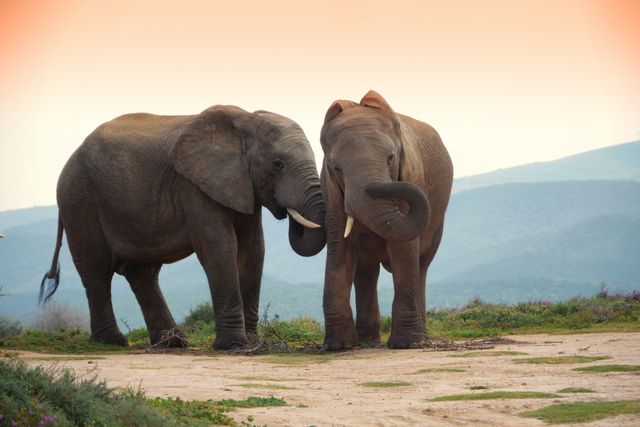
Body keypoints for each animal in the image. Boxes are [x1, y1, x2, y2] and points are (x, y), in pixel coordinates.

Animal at [40, 105, 326, 349]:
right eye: (278, 164)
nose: (287, 211)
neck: (246, 120)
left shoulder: (243, 186)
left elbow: (253, 251)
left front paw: (254, 342)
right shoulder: (193, 185)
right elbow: (219, 248)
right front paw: (235, 346)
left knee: (141, 273)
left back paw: (173, 342)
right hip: (79, 200)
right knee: (97, 271)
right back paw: (113, 342)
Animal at [320, 90, 453, 350]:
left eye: (391, 159)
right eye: (336, 169)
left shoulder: (412, 174)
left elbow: (404, 249)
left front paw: (405, 344)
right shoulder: (332, 195)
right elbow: (340, 248)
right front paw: (338, 346)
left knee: (421, 265)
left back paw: (420, 339)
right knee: (366, 271)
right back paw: (367, 340)